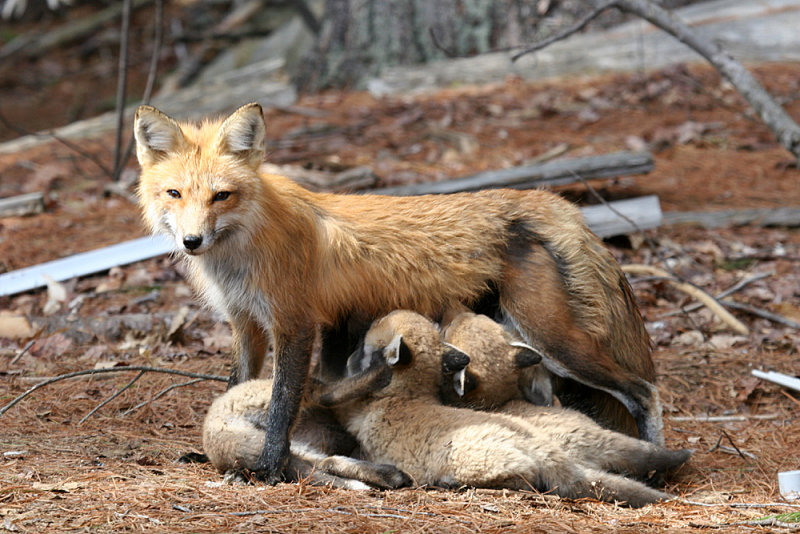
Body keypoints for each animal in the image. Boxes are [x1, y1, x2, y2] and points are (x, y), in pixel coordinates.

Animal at [136, 102, 664, 484]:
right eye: (174, 194)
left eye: (221, 196)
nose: (192, 241)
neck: (244, 250)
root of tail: (550, 201)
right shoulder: (246, 324)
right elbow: (235, 387)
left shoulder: (295, 324)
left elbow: (282, 405)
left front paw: (267, 467)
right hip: (525, 341)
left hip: (554, 340)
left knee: (644, 390)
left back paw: (658, 461)